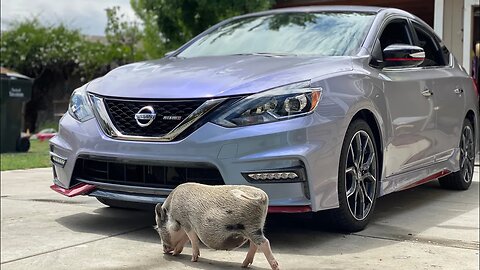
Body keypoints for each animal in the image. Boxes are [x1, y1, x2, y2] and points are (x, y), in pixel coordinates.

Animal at [154, 182, 282, 268]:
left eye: (158, 229)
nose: (164, 251)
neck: (171, 212)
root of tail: (261, 196)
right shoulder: (188, 225)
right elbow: (187, 239)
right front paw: (176, 253)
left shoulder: (185, 221)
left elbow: (192, 240)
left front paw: (193, 260)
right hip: (255, 226)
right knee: (255, 244)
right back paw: (243, 265)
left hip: (250, 226)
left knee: (264, 242)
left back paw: (275, 267)